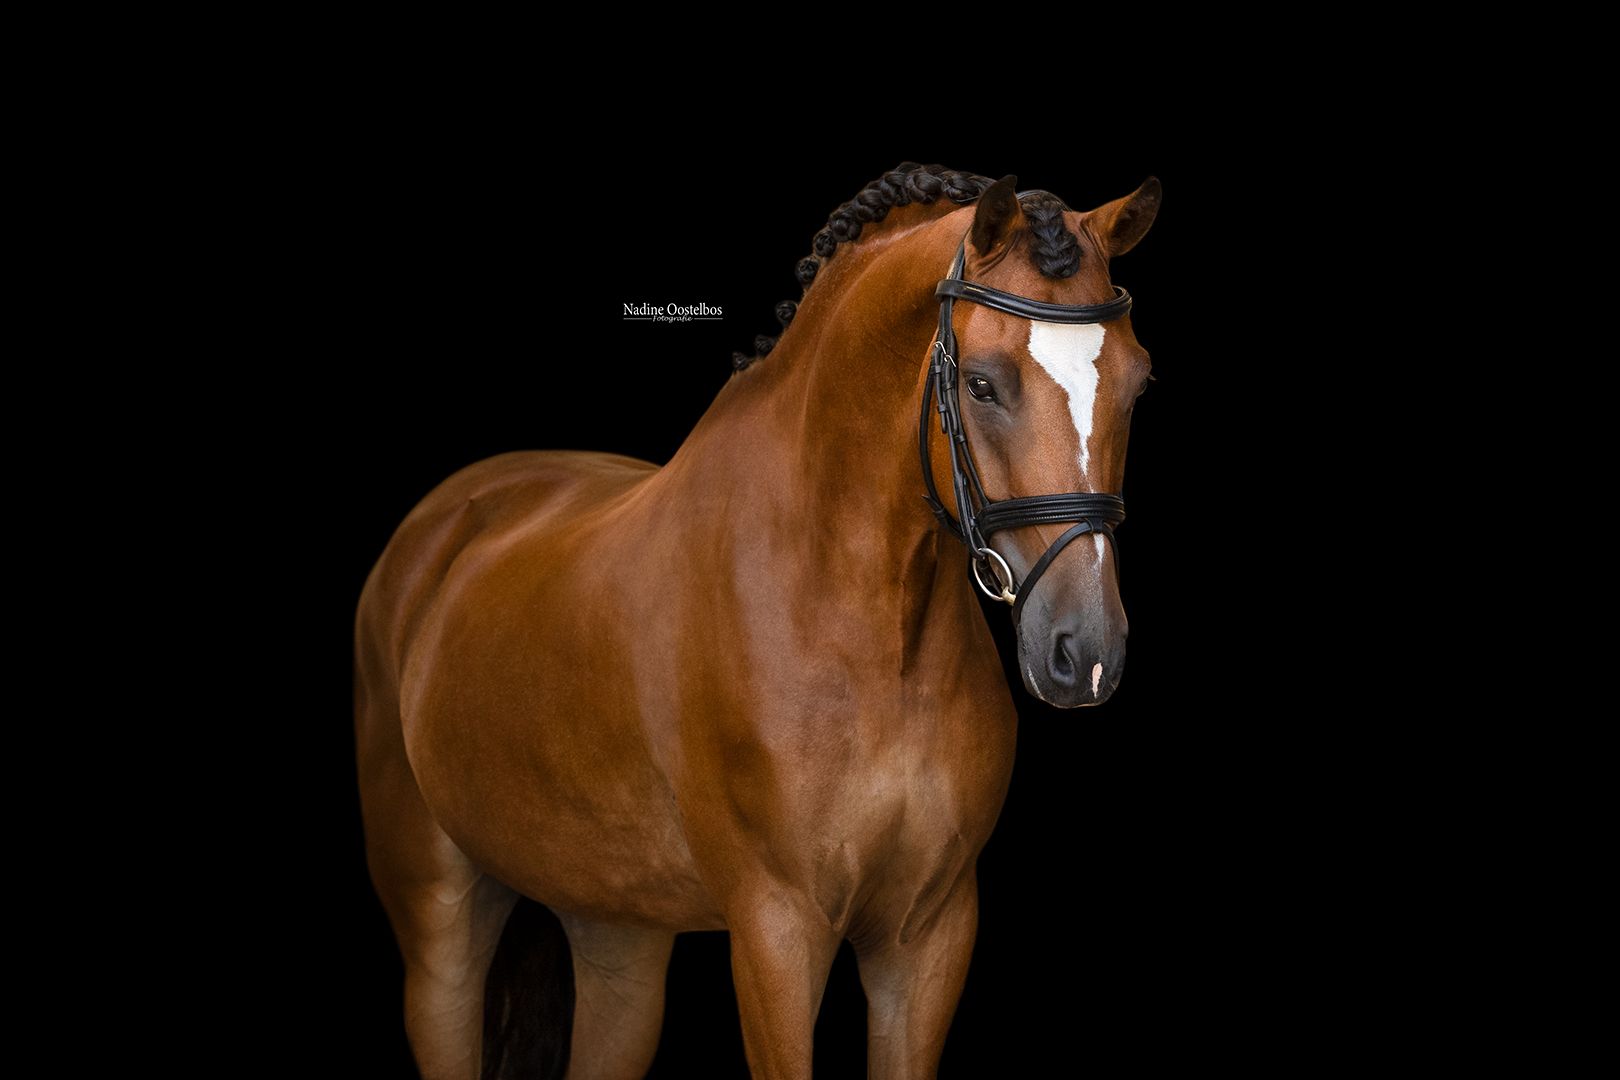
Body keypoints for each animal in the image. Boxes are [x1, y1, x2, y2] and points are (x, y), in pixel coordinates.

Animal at [355, 163, 1161, 1079]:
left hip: (617, 934)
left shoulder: (928, 934)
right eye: (983, 383)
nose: (1085, 651)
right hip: (440, 921)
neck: (866, 632)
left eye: (1137, 383)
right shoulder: (777, 933)